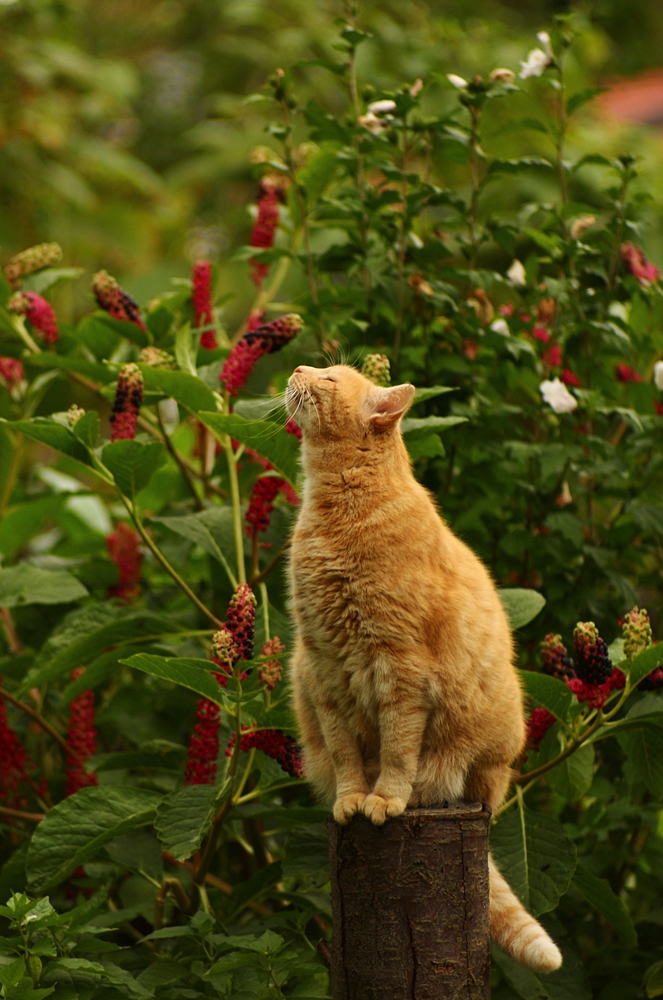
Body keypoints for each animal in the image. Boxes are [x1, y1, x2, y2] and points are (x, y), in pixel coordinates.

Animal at [288, 364, 564, 972]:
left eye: (328, 377)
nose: (296, 369)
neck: (340, 507)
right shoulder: (324, 672)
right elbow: (346, 757)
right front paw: (351, 799)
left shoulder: (400, 671)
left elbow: (396, 750)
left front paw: (385, 799)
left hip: (482, 759)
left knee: (451, 784)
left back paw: (414, 796)